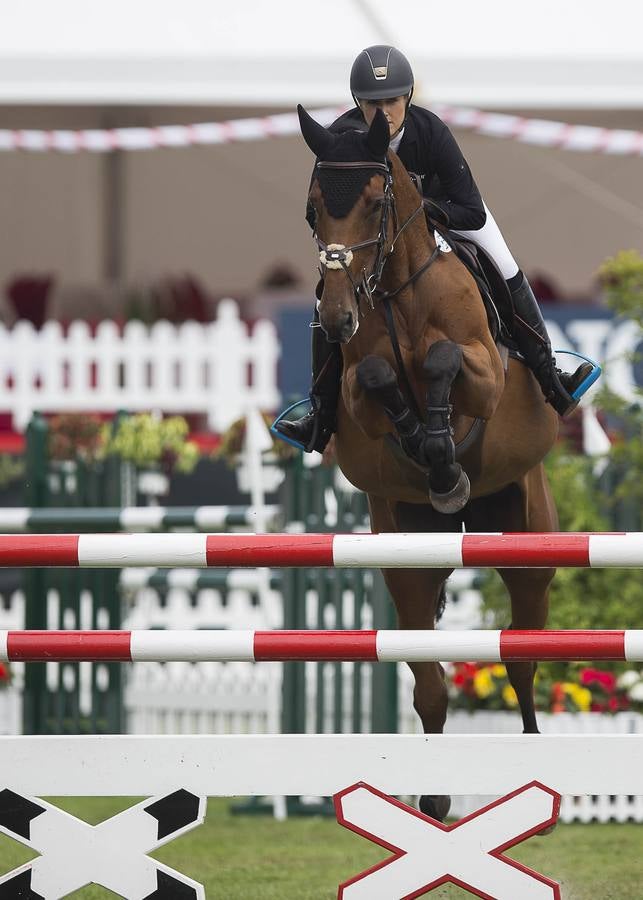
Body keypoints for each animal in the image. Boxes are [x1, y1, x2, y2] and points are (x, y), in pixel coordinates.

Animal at [296, 105, 560, 824]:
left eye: (373, 201)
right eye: (313, 210)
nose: (336, 315)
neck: (393, 290)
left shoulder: (486, 374)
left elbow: (443, 362)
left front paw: (440, 448)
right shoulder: (357, 391)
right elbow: (378, 378)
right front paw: (426, 449)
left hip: (529, 542)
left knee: (520, 656)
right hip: (408, 560)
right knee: (431, 682)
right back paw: (435, 797)